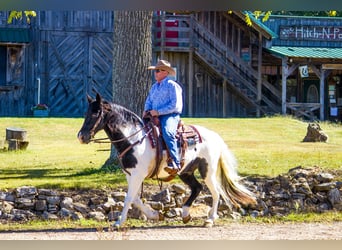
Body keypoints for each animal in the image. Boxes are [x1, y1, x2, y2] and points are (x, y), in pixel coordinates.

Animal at [77, 93, 256, 228]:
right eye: (86, 113)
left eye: (95, 113)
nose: (81, 136)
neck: (134, 139)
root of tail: (215, 136)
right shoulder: (131, 175)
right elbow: (135, 198)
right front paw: (155, 215)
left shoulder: (138, 175)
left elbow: (128, 198)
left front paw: (118, 222)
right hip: (186, 171)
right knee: (197, 188)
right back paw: (185, 214)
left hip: (207, 170)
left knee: (215, 192)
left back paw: (210, 219)